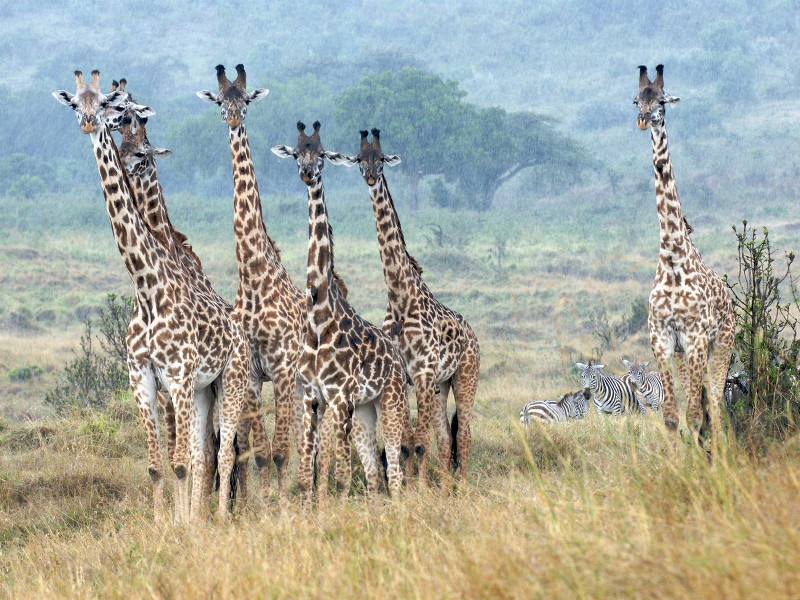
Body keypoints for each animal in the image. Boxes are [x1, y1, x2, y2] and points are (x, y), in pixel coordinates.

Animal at [53, 70, 250, 523]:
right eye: (75, 103)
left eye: (105, 102)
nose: (91, 123)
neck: (145, 287)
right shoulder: (142, 378)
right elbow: (157, 466)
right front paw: (165, 525)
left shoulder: (176, 376)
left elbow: (180, 462)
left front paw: (185, 524)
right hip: (203, 389)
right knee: (206, 452)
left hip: (231, 379)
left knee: (224, 452)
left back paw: (220, 518)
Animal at [272, 121, 412, 501]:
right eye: (296, 152)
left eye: (321, 154)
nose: (306, 173)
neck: (319, 321)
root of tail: (397, 354)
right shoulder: (313, 397)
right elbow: (308, 473)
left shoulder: (340, 397)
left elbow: (340, 475)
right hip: (365, 409)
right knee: (375, 474)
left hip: (391, 400)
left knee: (394, 468)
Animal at [328, 129, 480, 484]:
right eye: (359, 158)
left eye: (381, 158)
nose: (370, 176)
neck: (400, 295)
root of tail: (473, 335)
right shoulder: (410, 376)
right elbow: (408, 441)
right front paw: (414, 489)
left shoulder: (422, 373)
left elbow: (418, 442)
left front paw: (417, 491)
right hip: (440, 383)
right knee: (445, 437)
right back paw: (445, 490)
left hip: (465, 376)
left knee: (463, 434)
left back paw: (462, 487)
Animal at [633, 64, 735, 448]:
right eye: (637, 100)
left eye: (662, 101)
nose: (644, 120)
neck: (673, 258)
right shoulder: (662, 340)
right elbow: (671, 417)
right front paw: (679, 459)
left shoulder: (695, 338)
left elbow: (694, 414)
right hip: (686, 354)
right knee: (704, 403)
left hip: (720, 345)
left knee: (716, 406)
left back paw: (722, 453)